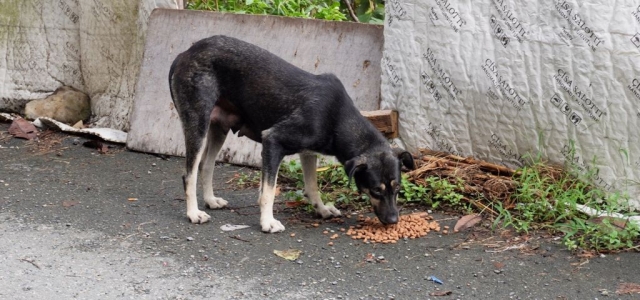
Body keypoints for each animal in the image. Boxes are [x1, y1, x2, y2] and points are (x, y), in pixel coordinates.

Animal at [168, 34, 416, 232]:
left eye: (397, 188)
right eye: (375, 190)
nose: (393, 221)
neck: (337, 117)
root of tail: (184, 53)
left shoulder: (308, 152)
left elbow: (312, 187)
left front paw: (322, 210)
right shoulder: (272, 142)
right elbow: (268, 191)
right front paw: (267, 222)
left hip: (219, 129)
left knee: (205, 166)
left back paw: (210, 200)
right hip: (197, 124)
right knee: (189, 174)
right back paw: (193, 213)